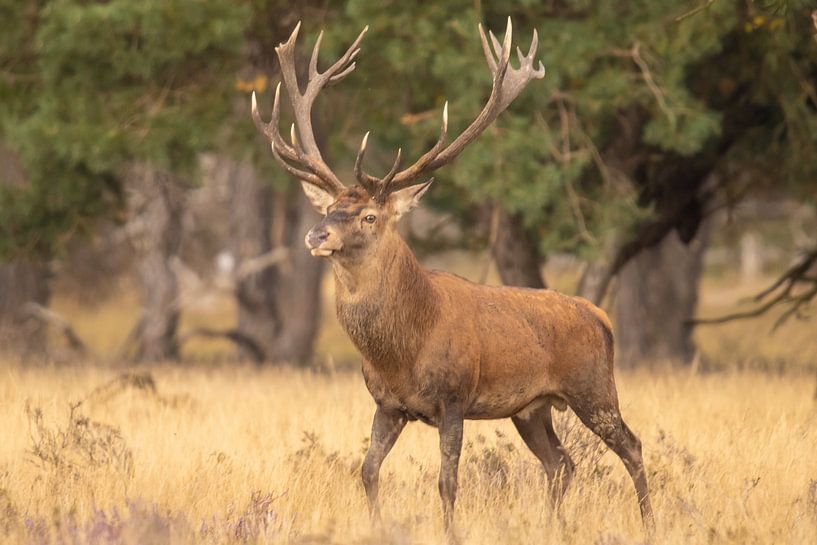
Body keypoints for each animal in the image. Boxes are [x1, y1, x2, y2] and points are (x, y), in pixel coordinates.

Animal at [251, 18, 655, 540]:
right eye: (329, 208)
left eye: (368, 217)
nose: (316, 234)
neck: (402, 350)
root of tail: (601, 316)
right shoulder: (387, 404)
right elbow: (367, 471)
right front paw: (378, 528)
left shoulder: (454, 397)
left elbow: (447, 481)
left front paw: (450, 532)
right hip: (533, 406)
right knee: (561, 463)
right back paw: (553, 527)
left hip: (593, 387)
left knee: (632, 446)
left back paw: (649, 524)